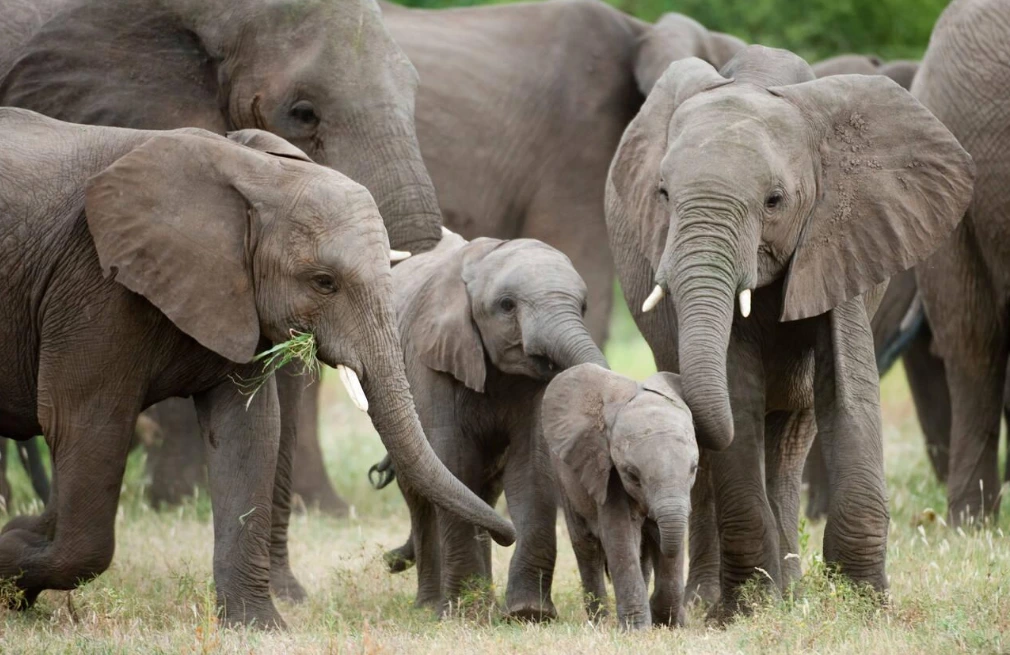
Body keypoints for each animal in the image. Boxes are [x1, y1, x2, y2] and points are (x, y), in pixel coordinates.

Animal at [0, 109, 513, 627]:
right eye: (324, 283)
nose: (506, 534)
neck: (255, 173)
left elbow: (249, 430)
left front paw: (258, 627)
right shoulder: (94, 288)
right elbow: (87, 426)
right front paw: (12, 558)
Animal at [368, 230, 607, 620]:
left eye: (583, 306)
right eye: (507, 306)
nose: (390, 561)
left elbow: (532, 465)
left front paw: (528, 614)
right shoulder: (431, 359)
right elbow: (453, 459)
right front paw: (466, 615)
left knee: (484, 489)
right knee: (420, 493)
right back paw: (431, 605)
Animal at [542, 363, 697, 630]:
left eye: (694, 469)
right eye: (632, 475)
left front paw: (669, 623)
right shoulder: (608, 474)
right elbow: (620, 536)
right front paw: (637, 630)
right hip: (564, 479)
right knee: (587, 547)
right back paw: (600, 622)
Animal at [604, 45, 974, 617]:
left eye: (774, 201)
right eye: (662, 194)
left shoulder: (845, 235)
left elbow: (847, 389)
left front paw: (863, 602)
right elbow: (737, 395)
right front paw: (748, 607)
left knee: (792, 435)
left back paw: (791, 590)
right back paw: (713, 600)